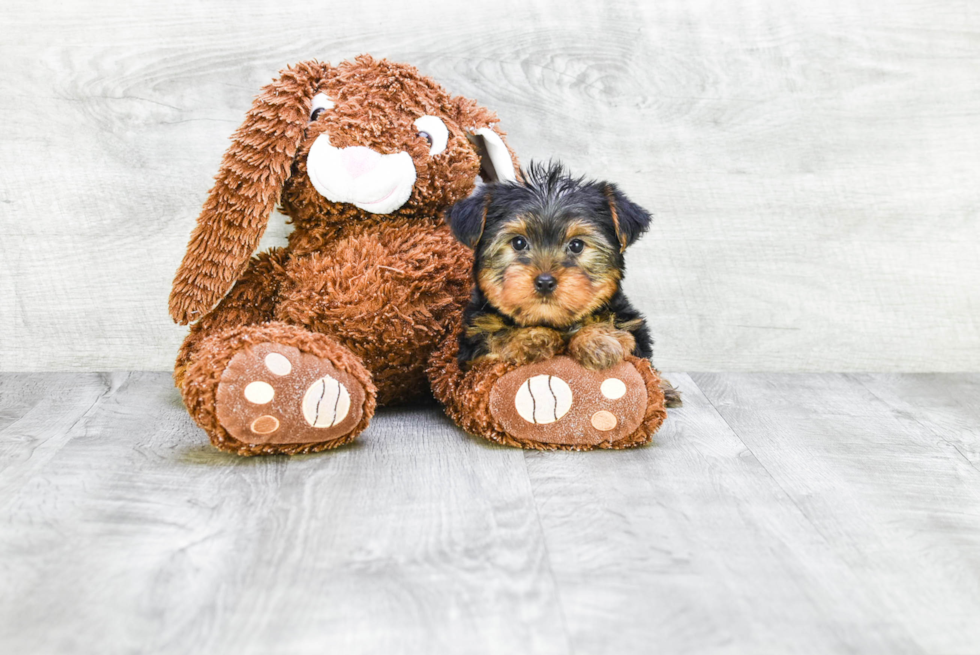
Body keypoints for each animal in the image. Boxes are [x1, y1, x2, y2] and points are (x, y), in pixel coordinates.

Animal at [446, 161, 680, 404]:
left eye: (576, 245)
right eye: (518, 242)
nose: (545, 282)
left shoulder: (630, 325)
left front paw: (600, 340)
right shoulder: (473, 346)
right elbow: (495, 336)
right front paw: (531, 338)